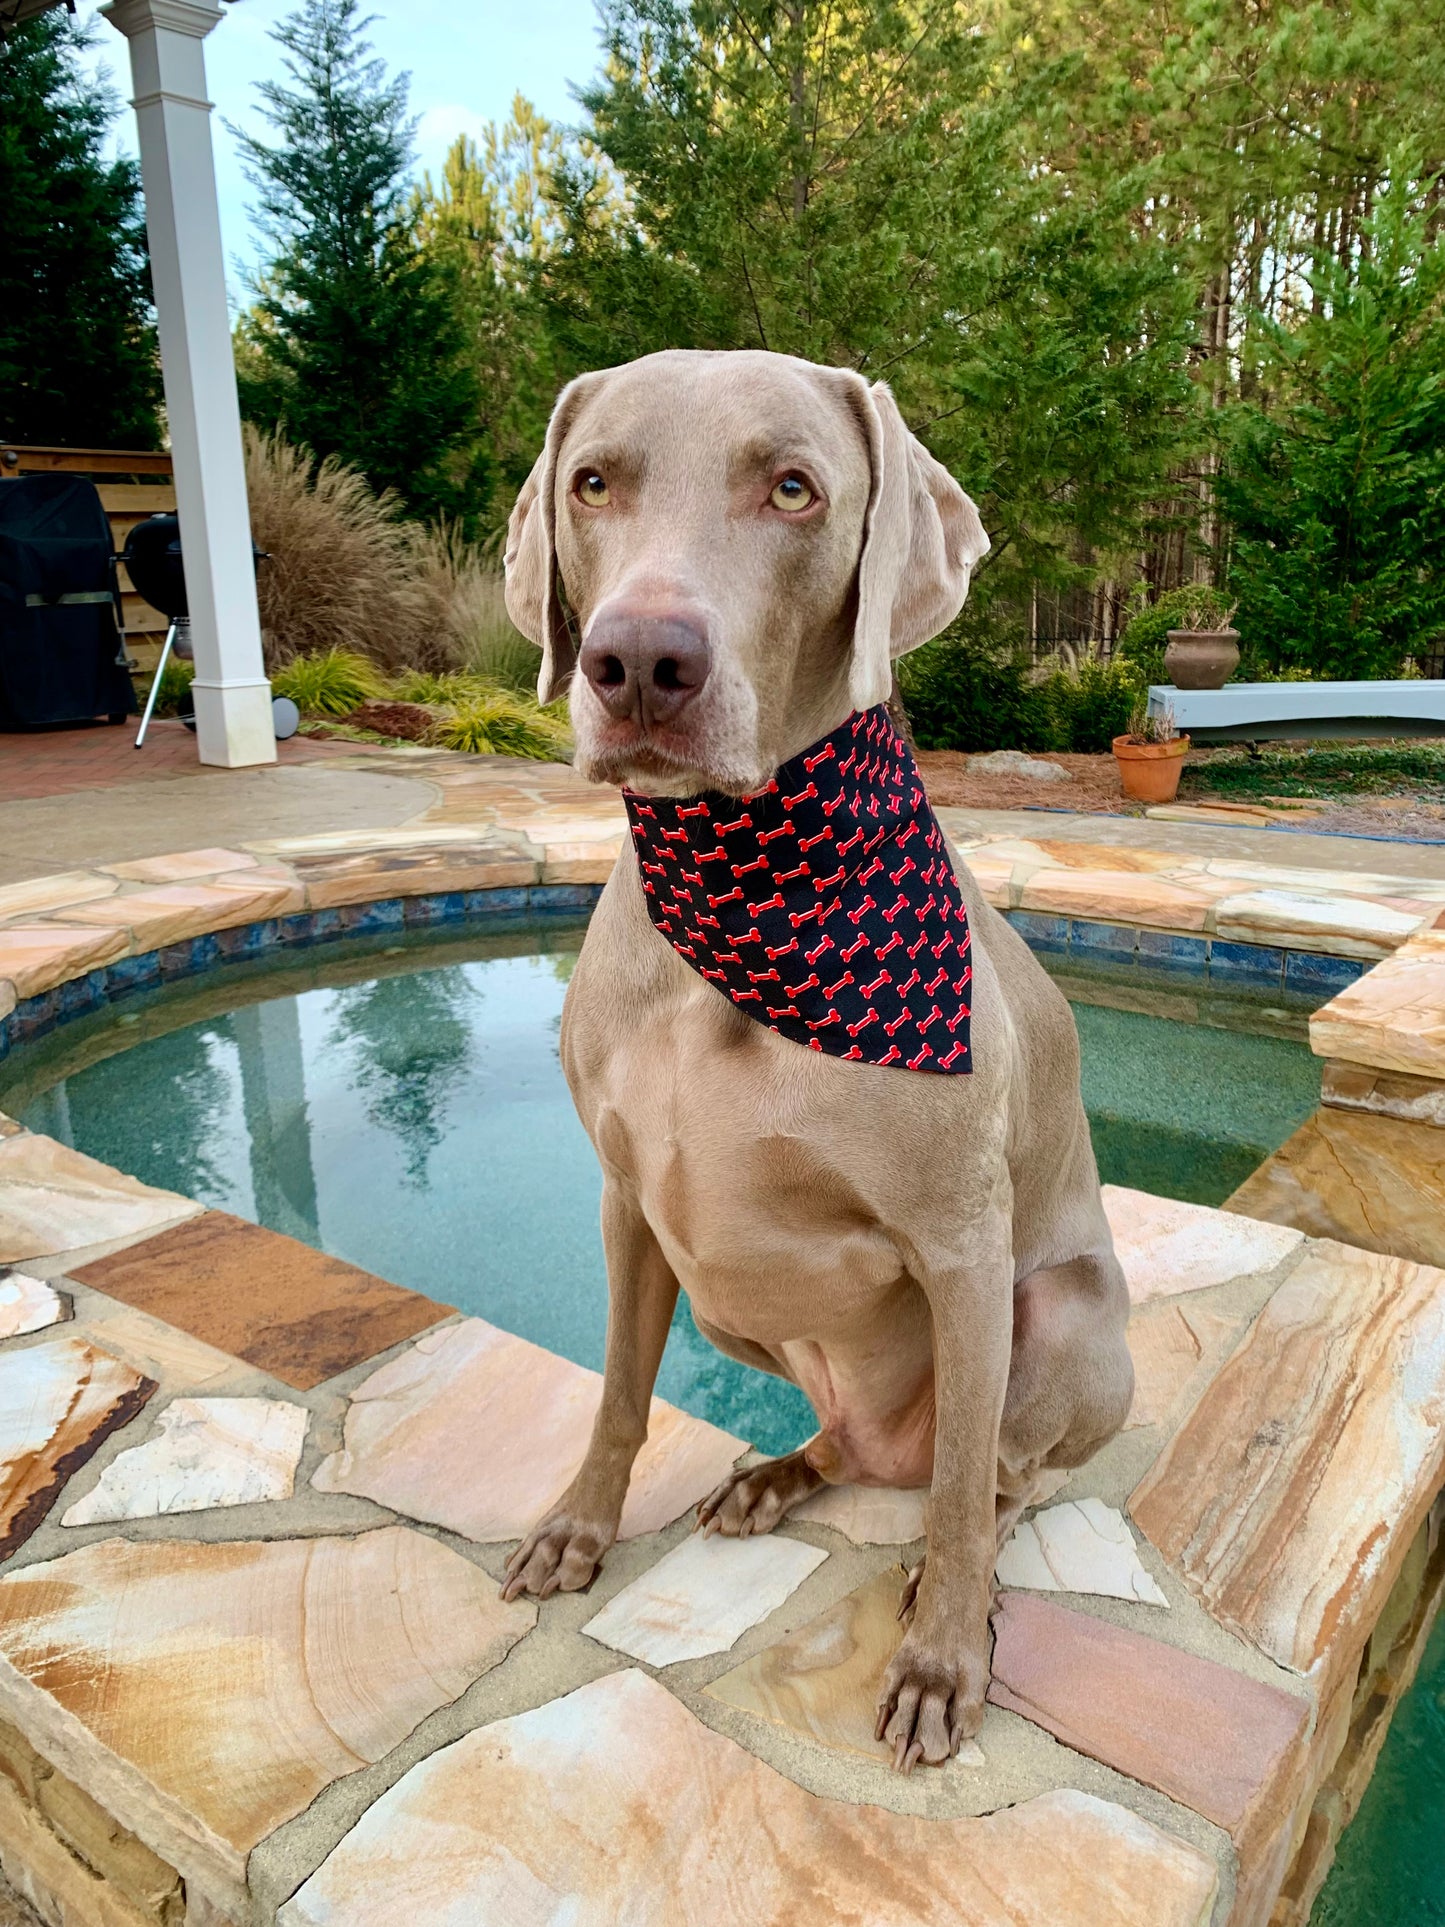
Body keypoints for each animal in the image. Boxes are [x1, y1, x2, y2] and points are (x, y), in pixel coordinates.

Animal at [504, 350, 1140, 1772]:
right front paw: (576, 1528)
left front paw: (941, 1661)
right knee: (856, 1446)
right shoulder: (629, 1203)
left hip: (1065, 1322)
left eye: (791, 488)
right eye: (592, 482)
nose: (637, 661)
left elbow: (959, 1498)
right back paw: (780, 1471)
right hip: (730, 1295)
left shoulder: (961, 1245)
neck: (741, 889)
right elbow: (616, 1390)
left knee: (995, 1477)